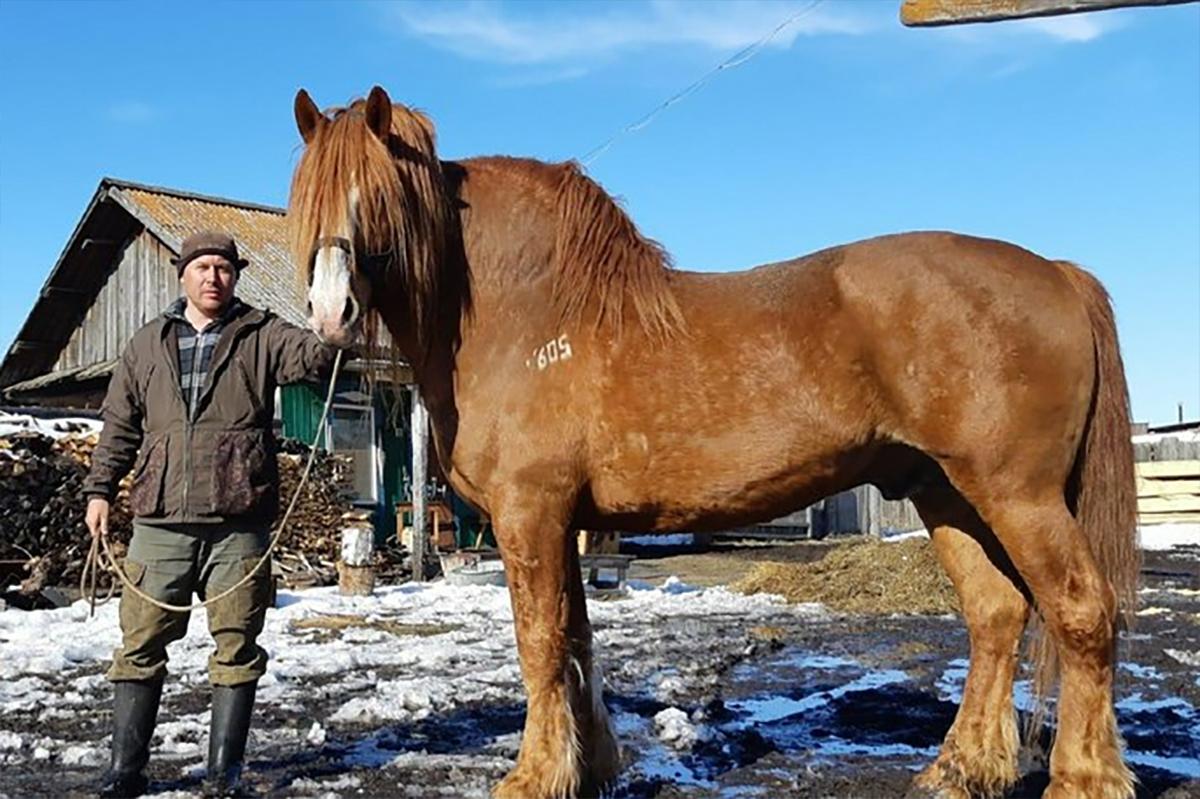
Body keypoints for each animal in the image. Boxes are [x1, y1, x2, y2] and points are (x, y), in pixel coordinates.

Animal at [285, 86, 1137, 796]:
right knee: (995, 615)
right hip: (945, 492)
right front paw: (592, 765)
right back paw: (958, 768)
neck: (528, 313)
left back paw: (1079, 778)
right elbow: (577, 639)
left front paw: (533, 777)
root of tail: (1058, 274)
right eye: (309, 199)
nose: (331, 313)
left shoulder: (531, 514)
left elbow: (540, 641)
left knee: (1079, 610)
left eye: (378, 197)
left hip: (1016, 494)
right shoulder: (564, 521)